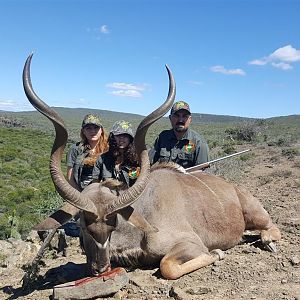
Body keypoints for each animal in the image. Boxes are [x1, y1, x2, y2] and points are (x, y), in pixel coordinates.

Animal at [23, 54, 282, 282]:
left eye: (112, 224)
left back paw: (268, 241)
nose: (100, 268)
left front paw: (217, 253)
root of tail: (234, 188)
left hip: (256, 215)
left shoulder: (191, 243)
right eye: (83, 226)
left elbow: (167, 266)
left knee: (271, 226)